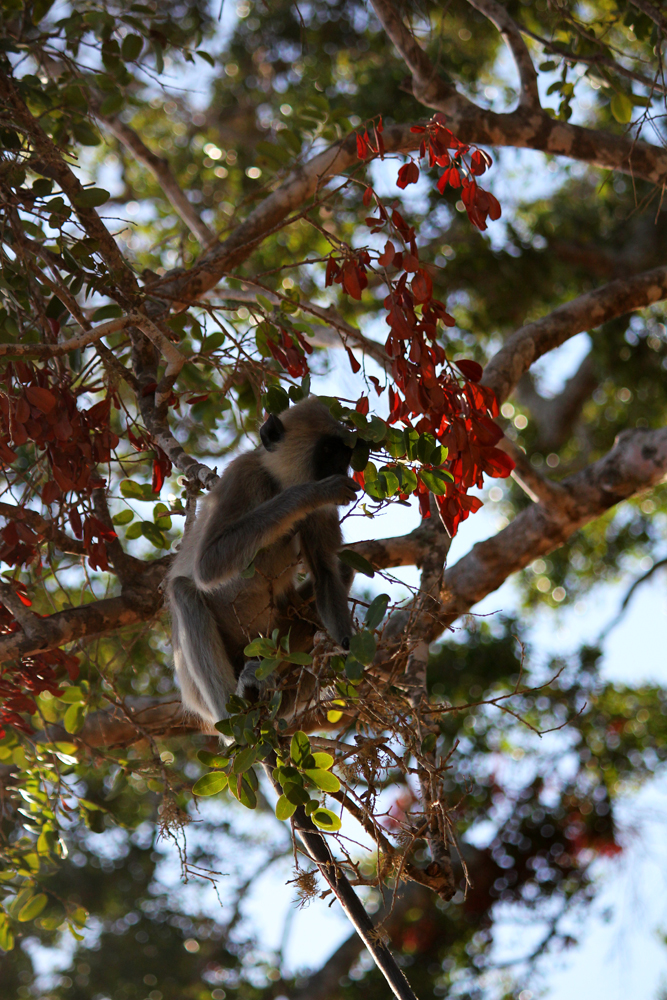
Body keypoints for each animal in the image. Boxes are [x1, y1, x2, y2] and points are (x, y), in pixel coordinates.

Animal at [170, 394, 362, 732]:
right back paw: (236, 714)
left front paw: (346, 650)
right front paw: (311, 493)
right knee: (183, 591)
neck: (276, 482)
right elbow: (207, 566)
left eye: (345, 454)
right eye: (327, 451)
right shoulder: (242, 475)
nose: (342, 470)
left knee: (342, 568)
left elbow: (326, 571)